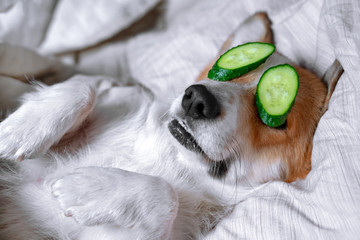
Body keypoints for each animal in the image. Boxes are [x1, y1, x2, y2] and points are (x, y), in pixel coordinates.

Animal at [0, 13, 340, 240]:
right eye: (225, 69)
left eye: (277, 120)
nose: (196, 98)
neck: (173, 157)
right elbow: (85, 87)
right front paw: (19, 131)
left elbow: (166, 195)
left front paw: (87, 188)